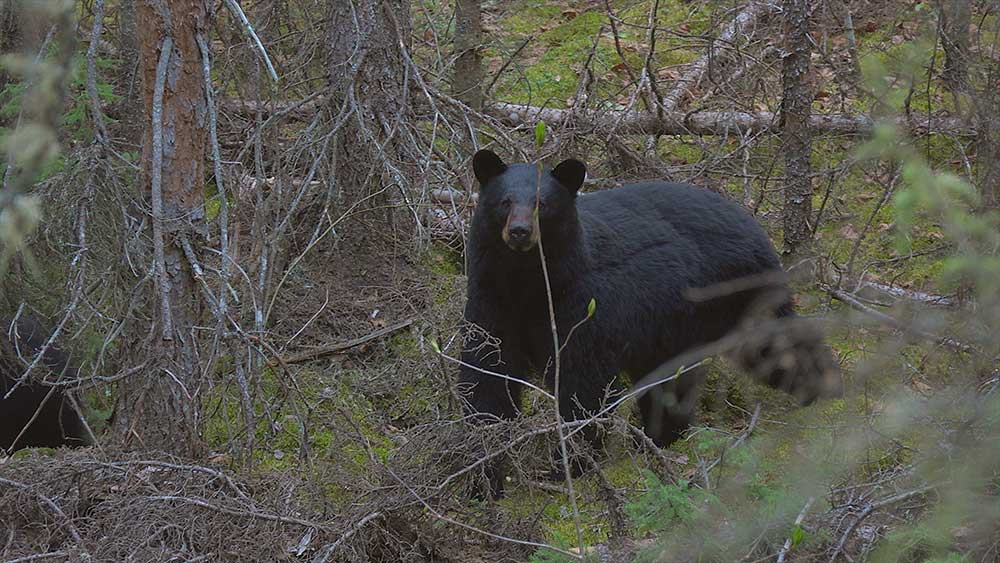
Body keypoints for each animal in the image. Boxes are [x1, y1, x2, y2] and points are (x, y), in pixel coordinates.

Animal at [458, 149, 842, 497]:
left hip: (737, 294)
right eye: (505, 202)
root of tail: (749, 219)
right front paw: (482, 475)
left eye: (543, 203)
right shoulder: (492, 303)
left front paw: (567, 466)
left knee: (773, 343)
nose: (520, 232)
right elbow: (486, 376)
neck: (529, 283)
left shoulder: (584, 305)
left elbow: (582, 384)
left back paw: (825, 386)